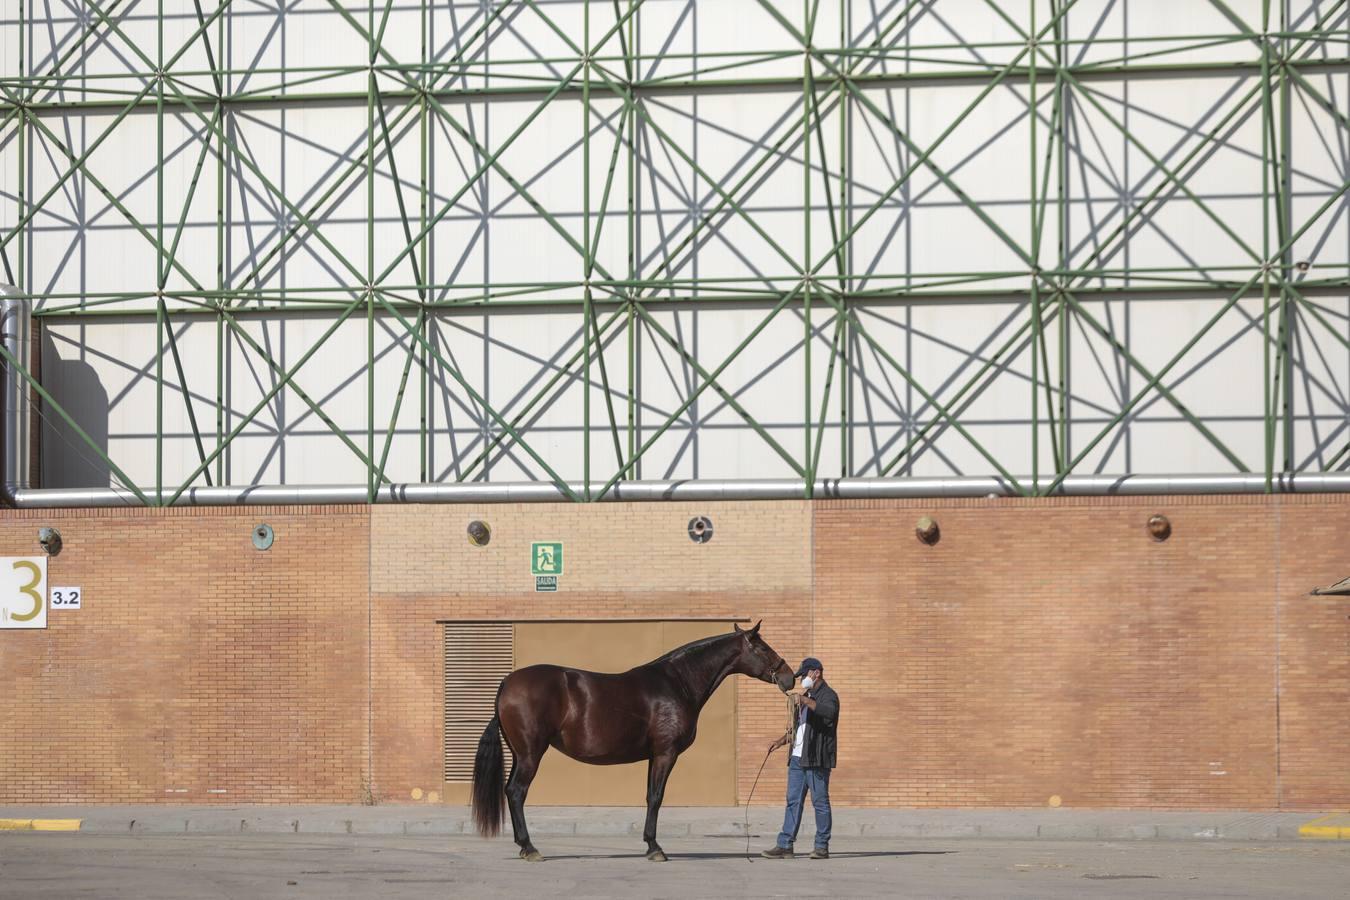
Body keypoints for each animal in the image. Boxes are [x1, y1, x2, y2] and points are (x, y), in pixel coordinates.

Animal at [472, 623, 793, 863]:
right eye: (763, 648)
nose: (789, 677)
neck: (677, 683)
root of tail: (507, 682)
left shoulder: (654, 755)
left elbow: (650, 796)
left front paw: (650, 844)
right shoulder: (665, 753)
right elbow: (656, 797)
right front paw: (655, 848)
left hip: (520, 754)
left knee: (511, 791)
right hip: (530, 754)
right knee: (516, 792)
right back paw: (530, 848)